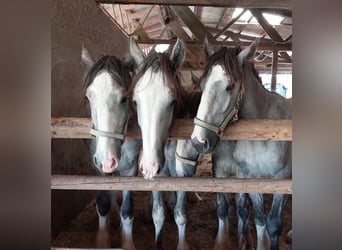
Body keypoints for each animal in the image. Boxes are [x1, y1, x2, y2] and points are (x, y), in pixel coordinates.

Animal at [190, 39, 292, 250]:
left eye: (230, 86)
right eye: (202, 85)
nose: (198, 141)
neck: (264, 133)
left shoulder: (282, 182)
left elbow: (274, 225)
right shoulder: (252, 179)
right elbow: (260, 220)